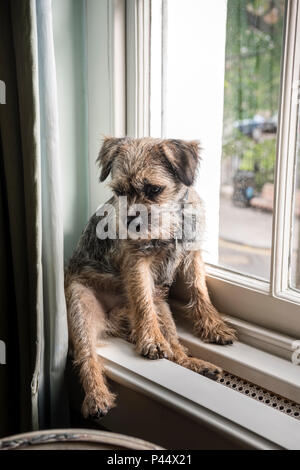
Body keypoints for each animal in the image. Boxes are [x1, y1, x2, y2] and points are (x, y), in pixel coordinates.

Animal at [64, 136, 236, 418]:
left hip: (164, 310)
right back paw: (97, 396)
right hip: (80, 308)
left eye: (154, 190)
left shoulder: (192, 256)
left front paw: (213, 325)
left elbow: (199, 290)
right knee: (87, 355)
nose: (129, 220)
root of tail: (116, 318)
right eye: (119, 191)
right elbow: (142, 299)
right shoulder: (138, 263)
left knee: (175, 349)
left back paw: (197, 364)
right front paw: (151, 340)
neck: (172, 221)